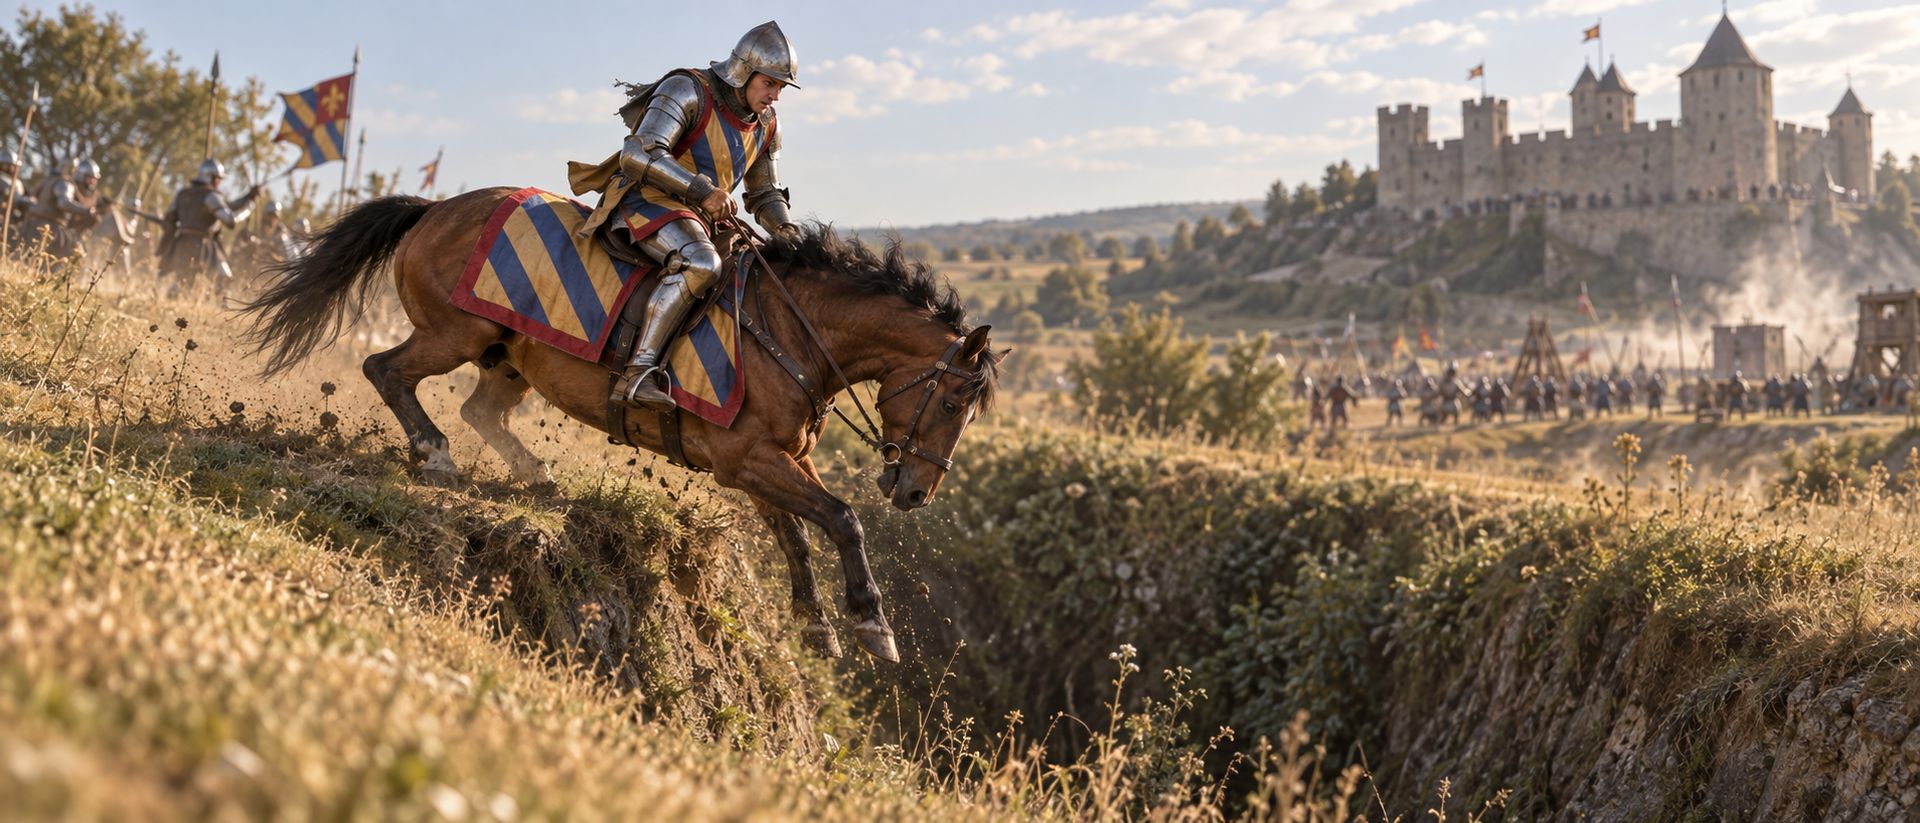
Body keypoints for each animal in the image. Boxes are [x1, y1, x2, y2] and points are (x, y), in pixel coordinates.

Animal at [240, 188, 1002, 663]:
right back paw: (434, 454)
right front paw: (871, 622)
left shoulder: (772, 463)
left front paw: (818, 624)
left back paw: (535, 474)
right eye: (953, 403)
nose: (916, 492)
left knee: (479, 408)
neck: (793, 330)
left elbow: (798, 536)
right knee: (386, 370)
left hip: (506, 353)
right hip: (454, 332)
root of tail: (436, 210)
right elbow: (842, 518)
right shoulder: (749, 459)